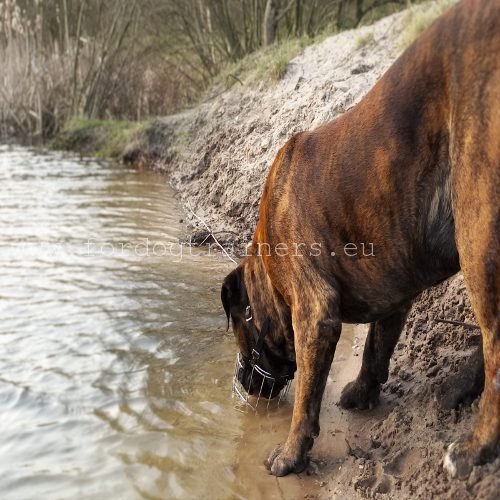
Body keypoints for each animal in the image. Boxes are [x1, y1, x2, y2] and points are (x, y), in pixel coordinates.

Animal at [221, 0, 498, 478]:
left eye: (242, 330)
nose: (241, 379)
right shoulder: (396, 290)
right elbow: (376, 346)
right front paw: (364, 392)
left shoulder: (314, 312)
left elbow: (307, 398)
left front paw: (291, 453)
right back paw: (459, 389)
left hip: (477, 233)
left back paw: (473, 447)